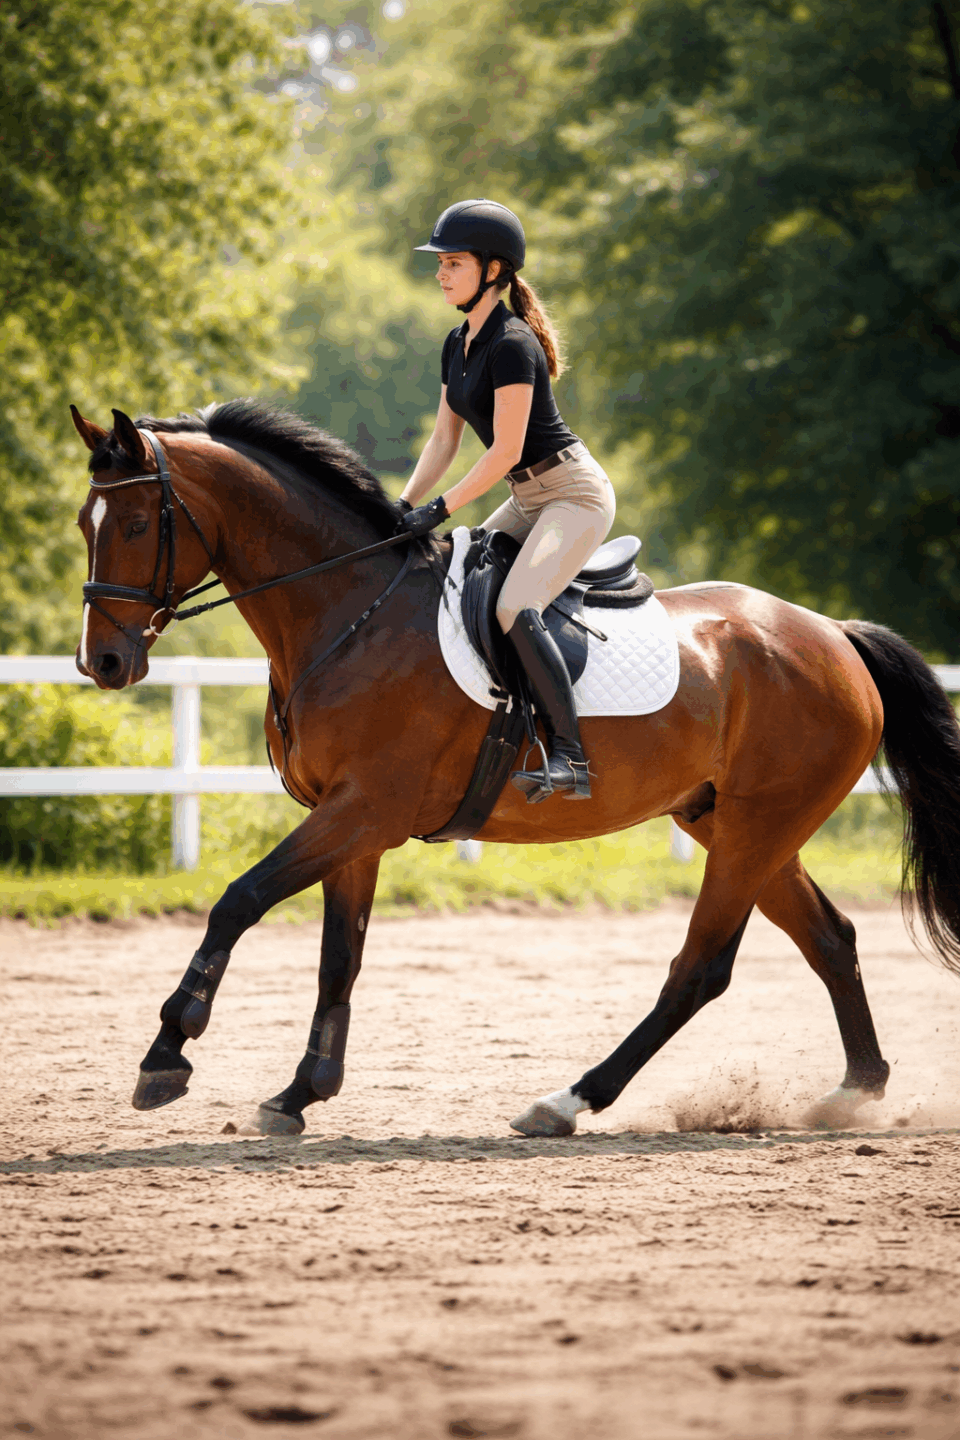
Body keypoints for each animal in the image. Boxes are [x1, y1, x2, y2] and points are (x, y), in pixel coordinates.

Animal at [71, 399, 960, 1139]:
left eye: (139, 522)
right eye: (87, 521)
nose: (103, 663)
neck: (349, 612)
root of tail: (834, 635)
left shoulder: (364, 810)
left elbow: (237, 900)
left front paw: (166, 1056)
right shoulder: (353, 823)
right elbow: (338, 956)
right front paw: (300, 1093)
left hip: (756, 828)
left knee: (700, 968)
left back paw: (568, 1101)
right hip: (732, 823)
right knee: (832, 939)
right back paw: (855, 1092)